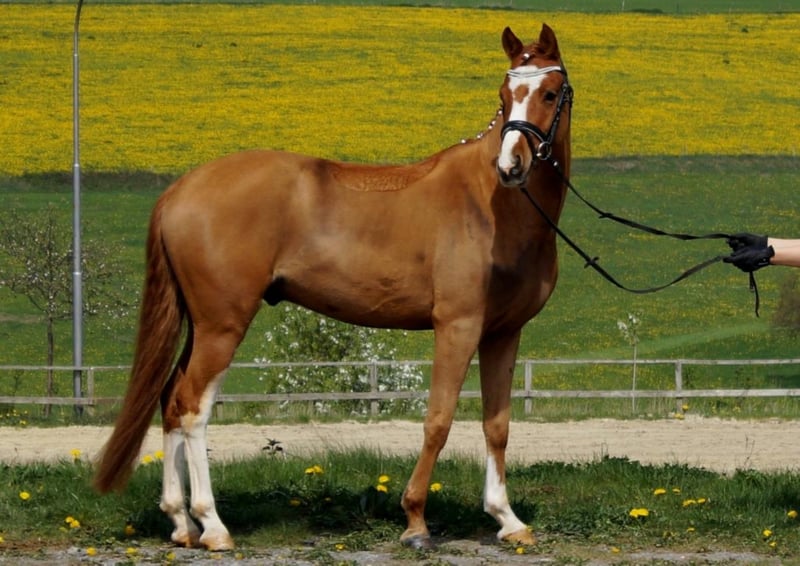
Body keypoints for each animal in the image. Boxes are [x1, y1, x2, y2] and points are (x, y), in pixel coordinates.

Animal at [94, 24, 572, 552]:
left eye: (549, 93)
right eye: (504, 96)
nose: (511, 165)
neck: (493, 208)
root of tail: (180, 190)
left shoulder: (502, 333)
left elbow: (497, 424)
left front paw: (507, 518)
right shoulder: (457, 327)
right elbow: (439, 419)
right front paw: (416, 521)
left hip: (202, 326)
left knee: (170, 401)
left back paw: (181, 522)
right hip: (222, 326)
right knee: (192, 406)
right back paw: (212, 524)